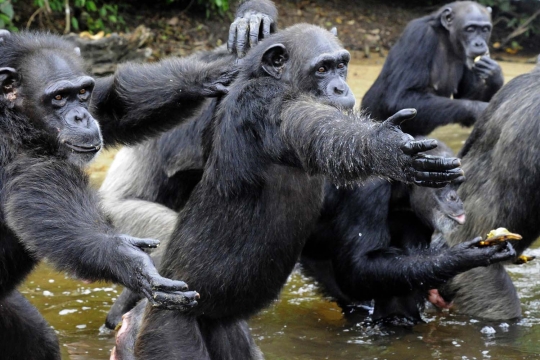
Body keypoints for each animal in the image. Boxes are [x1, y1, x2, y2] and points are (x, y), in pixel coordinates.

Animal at [0, 31, 234, 360]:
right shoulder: (15, 153)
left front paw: (212, 74)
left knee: (39, 343)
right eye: (58, 98)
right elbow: (49, 206)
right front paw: (131, 263)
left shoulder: (98, 103)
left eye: (81, 93)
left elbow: (115, 103)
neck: (19, 119)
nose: (81, 117)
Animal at [302, 139, 474, 324]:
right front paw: (459, 256)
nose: (455, 198)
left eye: (457, 184)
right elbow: (360, 265)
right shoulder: (368, 191)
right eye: (445, 182)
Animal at [360, 0, 504, 136]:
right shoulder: (419, 35)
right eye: (470, 29)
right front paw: (480, 108)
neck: (447, 39)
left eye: (485, 29)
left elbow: (468, 95)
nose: (479, 43)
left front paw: (494, 74)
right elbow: (402, 96)